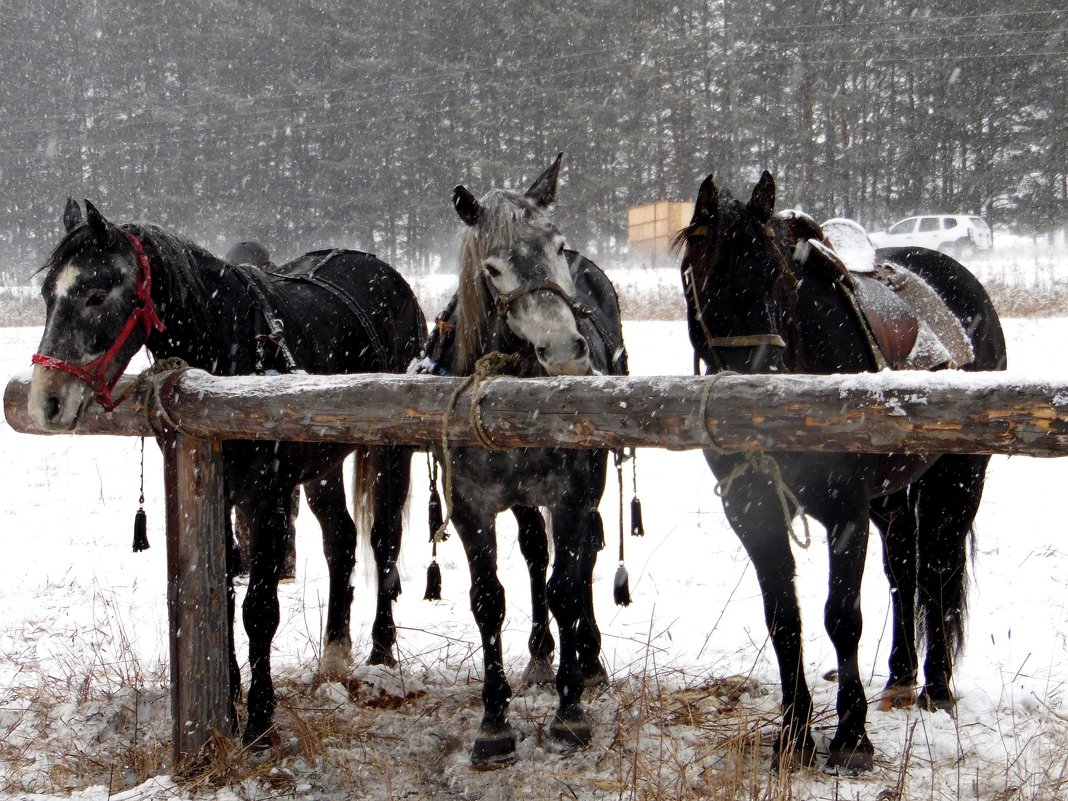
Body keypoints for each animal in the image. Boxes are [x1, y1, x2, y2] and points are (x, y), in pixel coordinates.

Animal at [28, 199, 425, 747]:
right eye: (48, 294)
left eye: (95, 293)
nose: (46, 402)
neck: (232, 353)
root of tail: (386, 273)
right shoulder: (220, 495)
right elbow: (220, 595)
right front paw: (230, 701)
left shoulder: (267, 500)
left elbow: (259, 611)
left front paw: (259, 720)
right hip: (321, 465)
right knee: (341, 541)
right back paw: (334, 655)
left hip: (390, 454)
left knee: (383, 541)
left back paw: (380, 654)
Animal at [425, 154, 623, 764]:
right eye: (492, 268)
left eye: (556, 246)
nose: (563, 352)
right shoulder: (473, 506)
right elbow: (489, 600)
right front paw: (493, 724)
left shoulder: (573, 495)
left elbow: (568, 587)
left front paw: (570, 711)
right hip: (523, 500)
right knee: (537, 553)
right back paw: (540, 654)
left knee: (580, 563)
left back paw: (588, 657)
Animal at [674, 173, 1008, 773]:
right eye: (706, 276)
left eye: (780, 277)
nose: (766, 387)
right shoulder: (753, 512)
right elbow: (784, 619)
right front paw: (794, 735)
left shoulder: (845, 510)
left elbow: (841, 617)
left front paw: (852, 738)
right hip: (892, 498)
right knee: (904, 571)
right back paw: (900, 679)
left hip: (959, 479)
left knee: (937, 570)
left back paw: (936, 689)